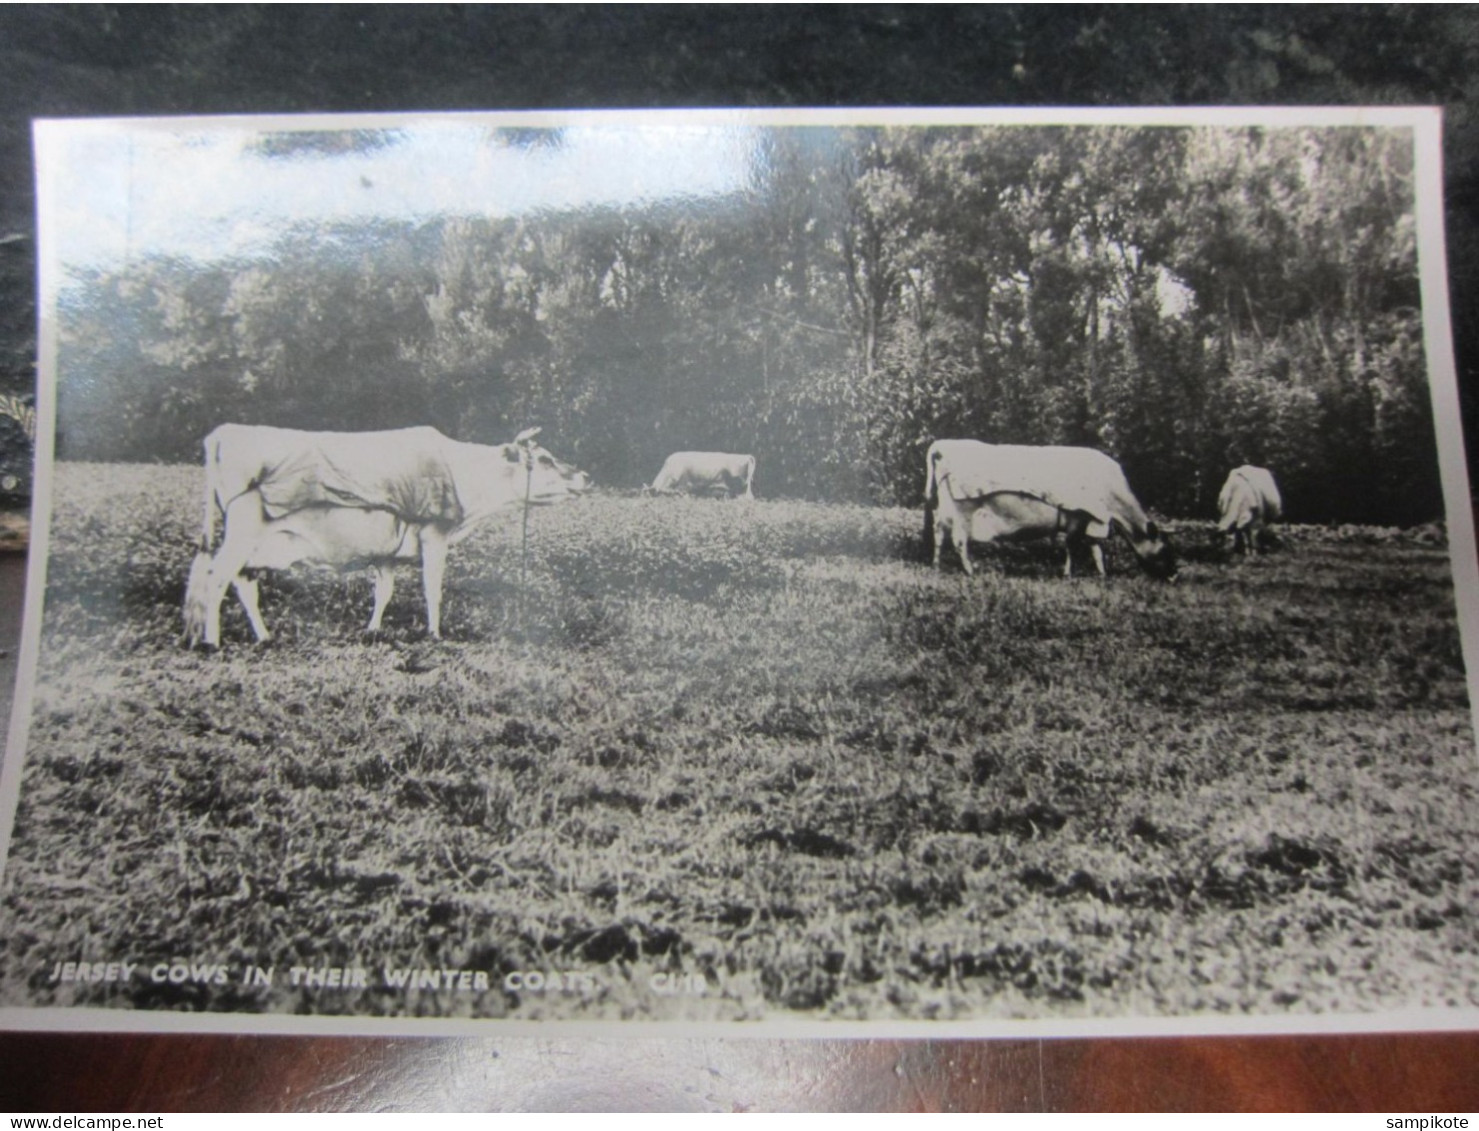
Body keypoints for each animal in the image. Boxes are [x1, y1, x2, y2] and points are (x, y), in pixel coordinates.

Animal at [178, 422, 582, 647]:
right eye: (544, 459)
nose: (584, 476)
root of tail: (221, 434)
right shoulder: (434, 533)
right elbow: (432, 588)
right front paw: (435, 634)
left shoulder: (386, 552)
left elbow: (383, 592)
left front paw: (372, 630)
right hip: (243, 531)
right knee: (216, 577)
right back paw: (212, 641)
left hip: (255, 544)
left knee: (242, 583)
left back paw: (263, 637)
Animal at [922, 437, 1177, 582]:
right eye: (1165, 550)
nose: (1174, 576)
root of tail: (942, 444)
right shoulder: (1077, 516)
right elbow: (1073, 546)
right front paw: (1067, 574)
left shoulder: (1092, 519)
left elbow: (1096, 548)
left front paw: (1103, 575)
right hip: (962, 507)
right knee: (958, 540)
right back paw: (969, 570)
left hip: (945, 508)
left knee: (938, 531)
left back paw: (936, 565)